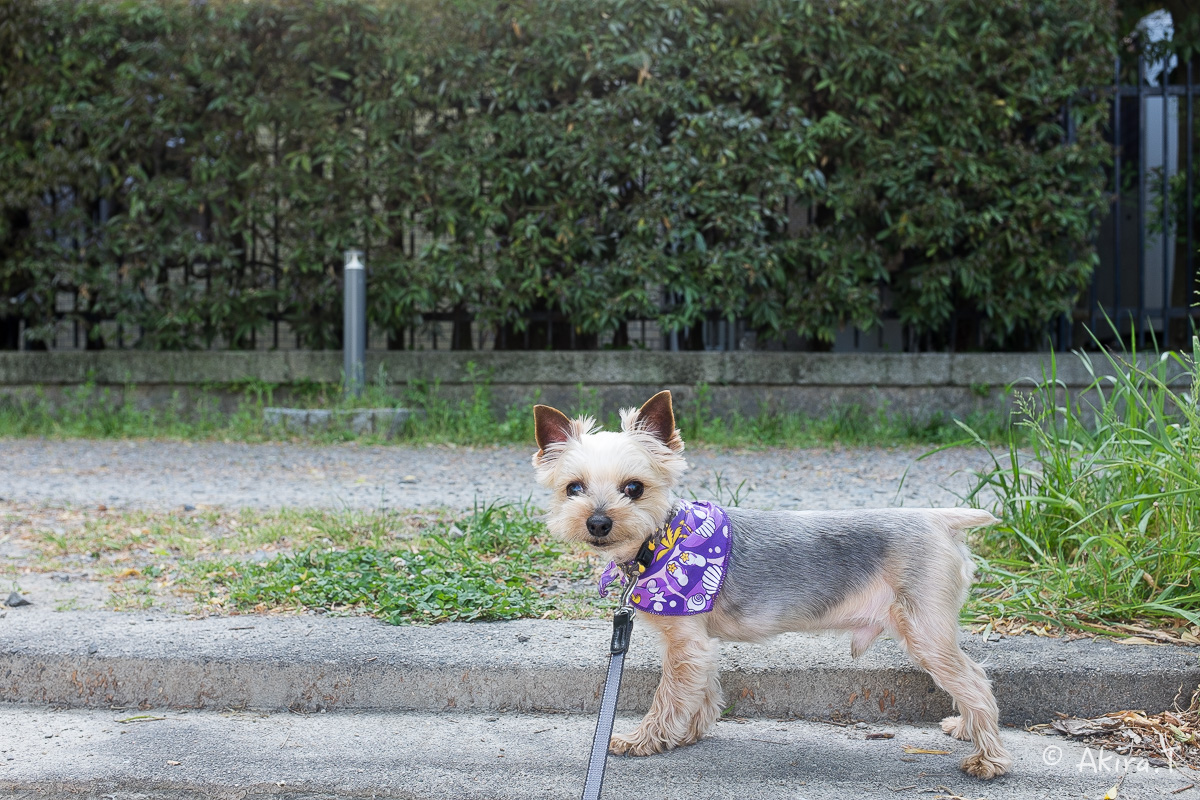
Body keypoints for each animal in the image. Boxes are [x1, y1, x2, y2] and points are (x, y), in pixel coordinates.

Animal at [535, 391, 1012, 777]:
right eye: (573, 488)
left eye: (633, 488)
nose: (598, 523)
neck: (659, 541)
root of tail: (940, 518)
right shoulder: (700, 645)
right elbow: (702, 691)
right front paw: (689, 734)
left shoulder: (686, 642)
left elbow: (668, 697)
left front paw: (643, 740)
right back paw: (965, 729)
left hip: (923, 628)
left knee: (974, 680)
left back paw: (988, 759)